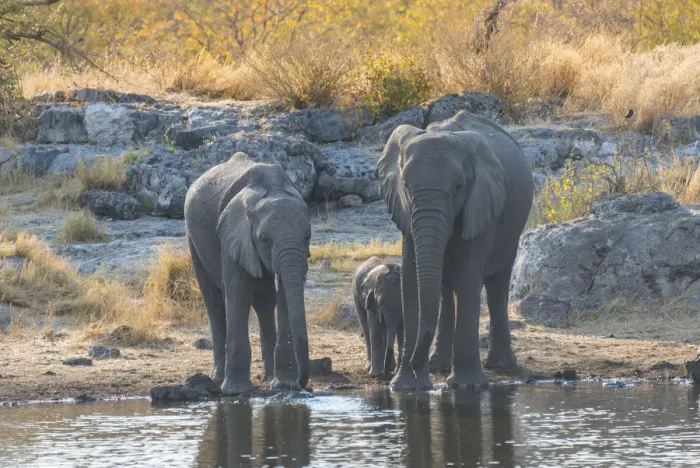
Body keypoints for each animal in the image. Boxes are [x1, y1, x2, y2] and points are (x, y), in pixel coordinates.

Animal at [184, 152, 311, 395]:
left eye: (308, 237)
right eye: (265, 240)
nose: (303, 384)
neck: (273, 188)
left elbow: (284, 299)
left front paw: (284, 387)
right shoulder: (231, 237)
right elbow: (238, 295)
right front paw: (237, 392)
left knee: (265, 306)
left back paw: (269, 377)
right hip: (193, 241)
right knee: (214, 304)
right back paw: (218, 378)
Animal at [375, 110, 534, 390]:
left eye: (458, 187)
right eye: (406, 186)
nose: (415, 363)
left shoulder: (482, 202)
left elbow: (468, 275)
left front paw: (467, 386)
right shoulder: (405, 212)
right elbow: (411, 279)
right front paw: (406, 387)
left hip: (512, 227)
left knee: (496, 284)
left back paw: (500, 365)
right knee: (446, 289)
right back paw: (439, 365)